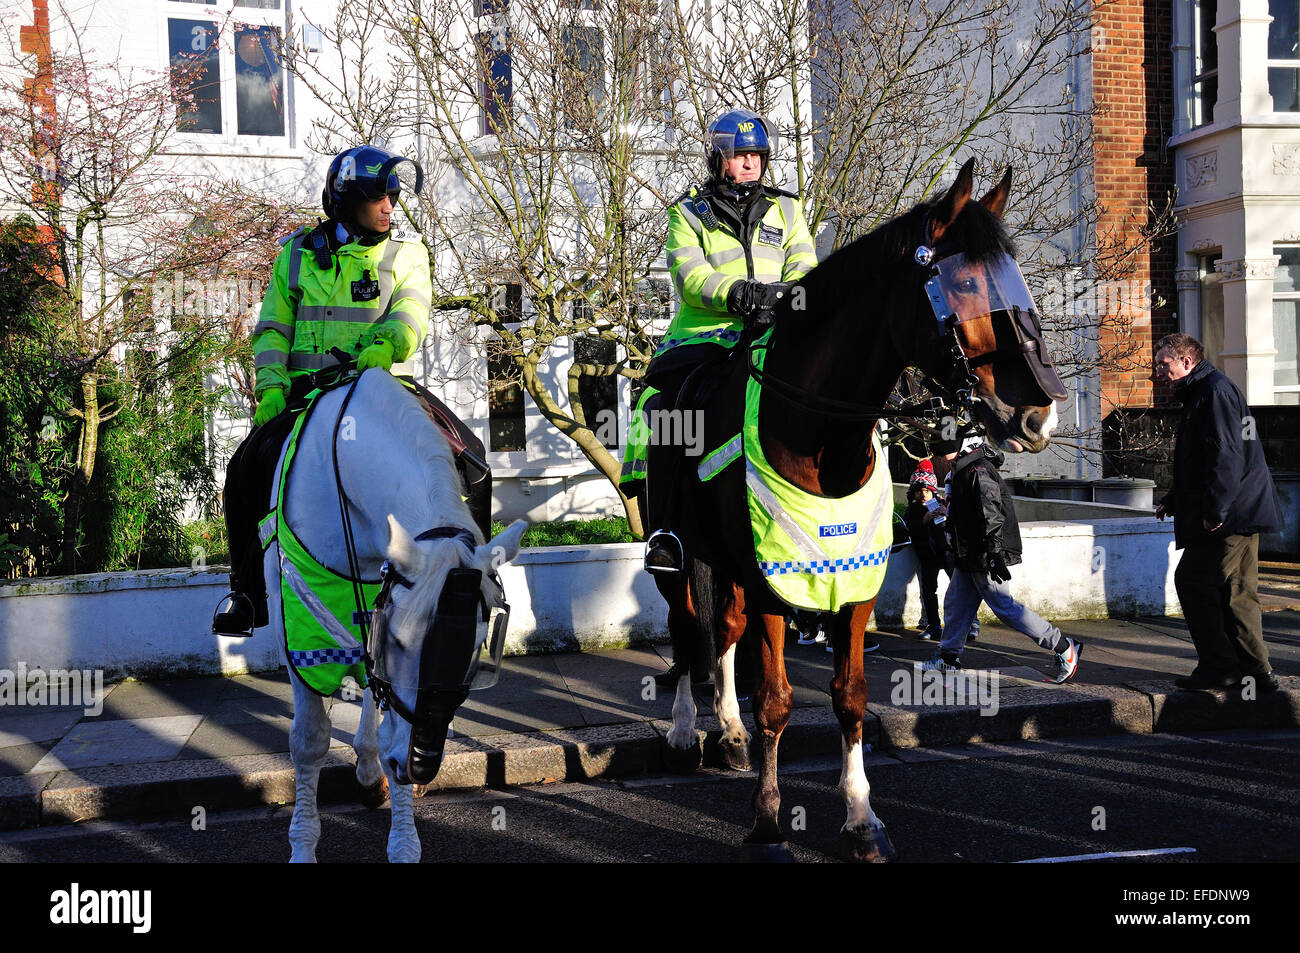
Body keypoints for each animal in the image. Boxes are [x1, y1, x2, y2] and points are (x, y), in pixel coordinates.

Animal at [261, 369, 525, 863]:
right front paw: (303, 846)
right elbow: (309, 742)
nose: (418, 765)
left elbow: (387, 730)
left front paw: (403, 843)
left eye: (477, 645)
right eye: (400, 639)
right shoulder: (300, 628)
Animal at [655, 159, 1060, 858]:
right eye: (966, 285)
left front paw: (861, 819)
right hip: (678, 549)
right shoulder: (773, 580)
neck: (818, 434)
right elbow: (777, 702)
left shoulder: (852, 581)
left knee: (723, 630)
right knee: (687, 628)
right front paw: (767, 823)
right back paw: (685, 731)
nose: (1040, 414)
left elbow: (850, 696)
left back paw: (727, 730)